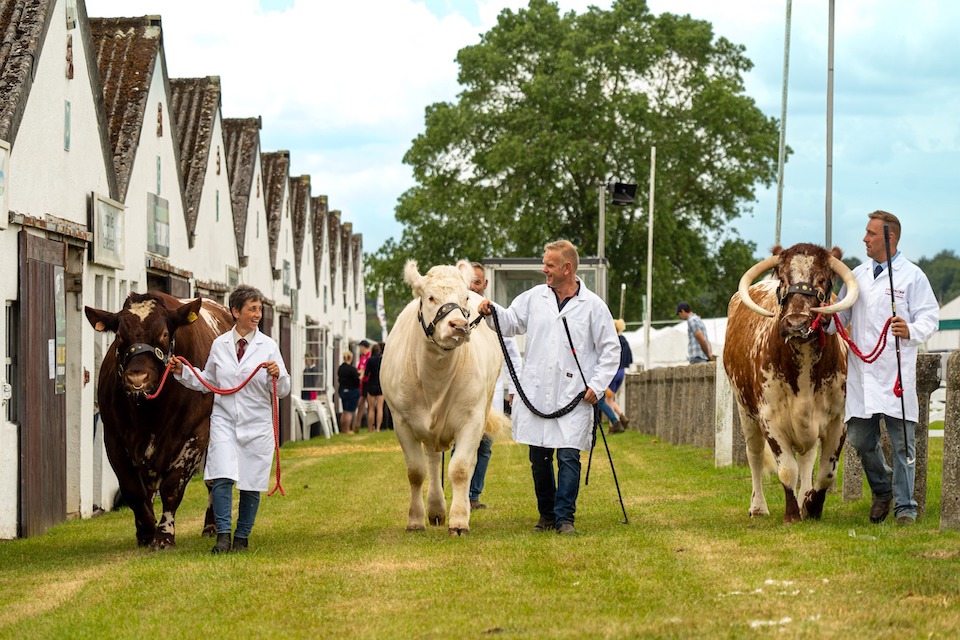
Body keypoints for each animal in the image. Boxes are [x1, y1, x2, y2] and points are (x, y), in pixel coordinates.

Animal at [87, 292, 235, 548]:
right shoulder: (114, 437)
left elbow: (172, 487)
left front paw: (164, 534)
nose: (137, 378)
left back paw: (211, 526)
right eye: (119, 335)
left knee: (213, 481)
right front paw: (146, 530)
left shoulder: (196, 434)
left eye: (164, 334)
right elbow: (134, 490)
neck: (150, 414)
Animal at [380, 260, 506, 536]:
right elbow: (416, 471)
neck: (434, 375)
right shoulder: (401, 421)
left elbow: (460, 469)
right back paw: (436, 508)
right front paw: (415, 520)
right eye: (430, 297)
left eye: (465, 297)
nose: (459, 325)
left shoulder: (472, 418)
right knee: (433, 459)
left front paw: (459, 521)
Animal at [724, 242, 860, 524]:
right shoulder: (770, 418)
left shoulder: (837, 420)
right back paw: (758, 507)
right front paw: (791, 513)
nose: (796, 323)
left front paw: (811, 506)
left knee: (807, 459)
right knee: (754, 455)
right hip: (745, 411)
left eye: (821, 279)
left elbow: (826, 472)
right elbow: (787, 469)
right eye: (784, 280)